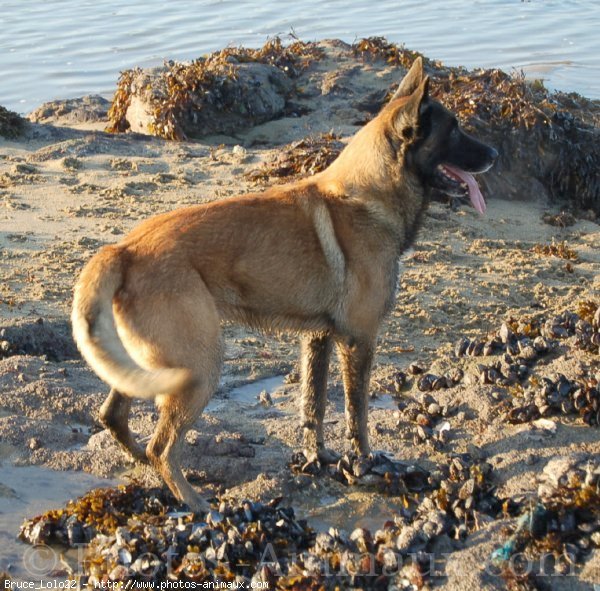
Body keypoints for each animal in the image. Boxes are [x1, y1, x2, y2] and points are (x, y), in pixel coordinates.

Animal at [72, 59, 500, 512]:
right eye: (453, 130)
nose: (495, 155)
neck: (370, 195)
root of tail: (124, 250)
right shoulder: (359, 340)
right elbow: (358, 414)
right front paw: (365, 463)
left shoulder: (318, 338)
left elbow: (314, 406)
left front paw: (320, 458)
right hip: (199, 368)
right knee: (162, 447)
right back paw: (196, 504)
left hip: (147, 366)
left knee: (115, 418)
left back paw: (148, 470)